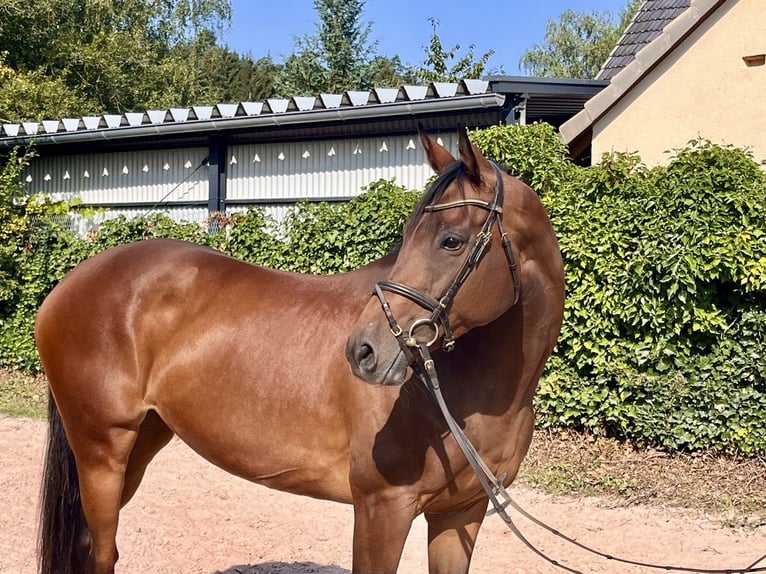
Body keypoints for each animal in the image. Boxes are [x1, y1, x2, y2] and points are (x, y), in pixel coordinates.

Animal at [34, 127, 564, 574]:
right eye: (408, 236)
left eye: (451, 240)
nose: (365, 351)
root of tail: (69, 284)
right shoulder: (382, 509)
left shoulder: (460, 514)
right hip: (102, 451)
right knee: (99, 552)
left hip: (141, 441)